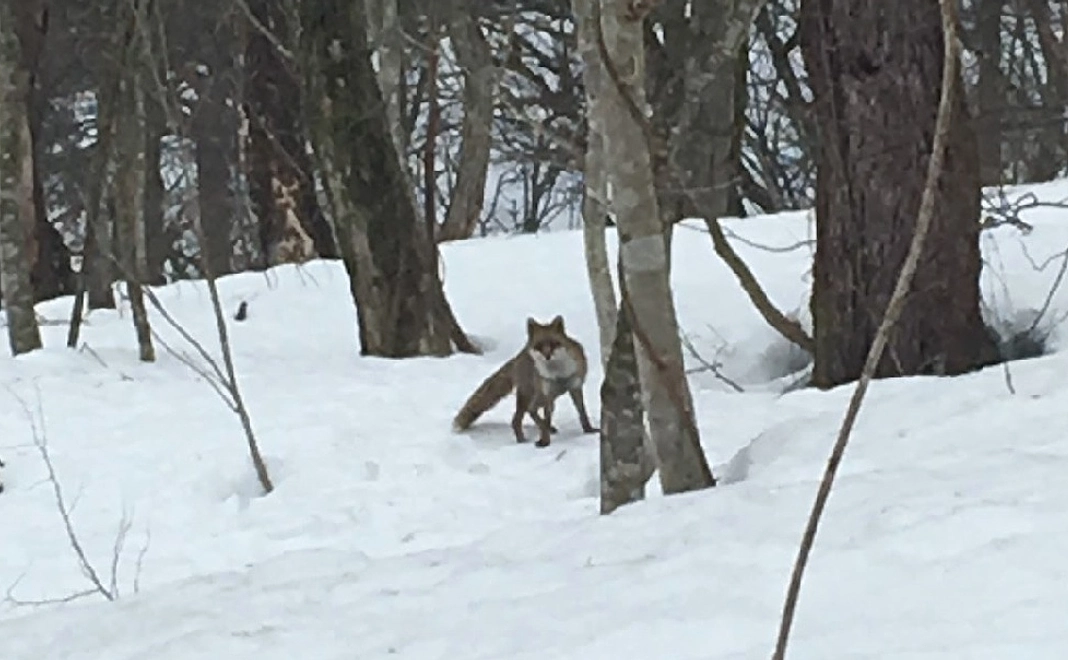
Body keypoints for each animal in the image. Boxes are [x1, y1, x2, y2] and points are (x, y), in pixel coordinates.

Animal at [452, 313, 602, 446]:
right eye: (539, 346)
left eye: (554, 344)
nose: (547, 356)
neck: (559, 375)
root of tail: (520, 354)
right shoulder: (545, 395)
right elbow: (542, 420)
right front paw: (545, 441)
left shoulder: (575, 387)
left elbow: (582, 413)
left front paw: (589, 430)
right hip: (530, 396)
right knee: (517, 419)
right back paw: (522, 440)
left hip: (545, 399)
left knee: (537, 415)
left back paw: (546, 429)